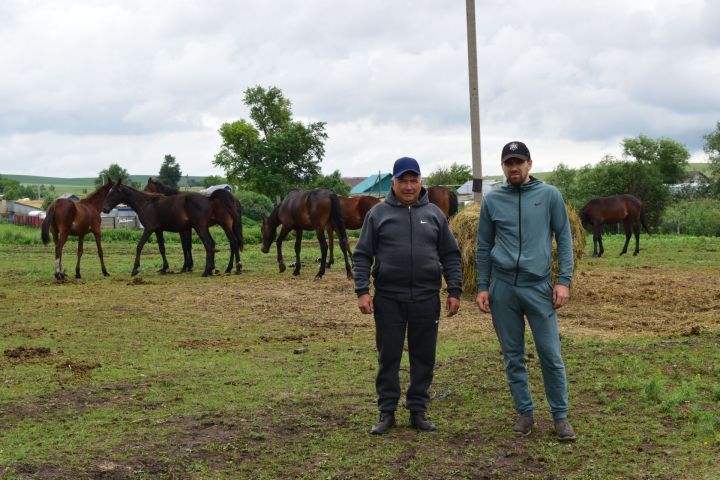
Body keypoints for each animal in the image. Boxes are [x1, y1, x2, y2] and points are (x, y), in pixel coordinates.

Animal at [101, 180, 235, 278]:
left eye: (113, 193)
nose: (105, 209)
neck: (146, 203)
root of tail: (209, 199)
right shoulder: (158, 230)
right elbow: (162, 248)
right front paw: (164, 268)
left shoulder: (149, 229)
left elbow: (139, 246)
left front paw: (135, 269)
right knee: (212, 244)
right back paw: (212, 269)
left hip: (200, 228)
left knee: (208, 244)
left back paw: (207, 271)